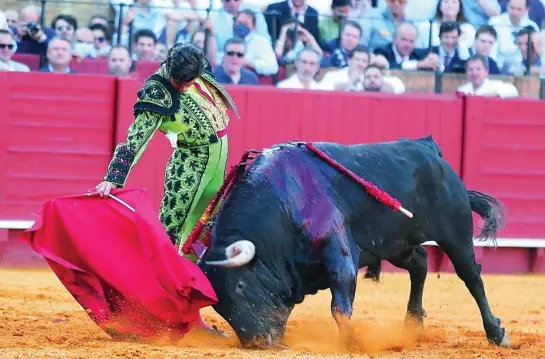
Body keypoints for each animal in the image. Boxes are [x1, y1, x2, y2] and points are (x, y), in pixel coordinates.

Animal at [198, 136, 508, 350]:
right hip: (395, 243)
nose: (259, 342)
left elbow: (339, 304)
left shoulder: (339, 252)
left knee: (471, 277)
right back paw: (413, 323)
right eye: (218, 306)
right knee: (419, 264)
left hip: (456, 235)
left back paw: (496, 333)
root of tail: (427, 147)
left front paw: (351, 342)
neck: (282, 204)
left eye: (240, 285)